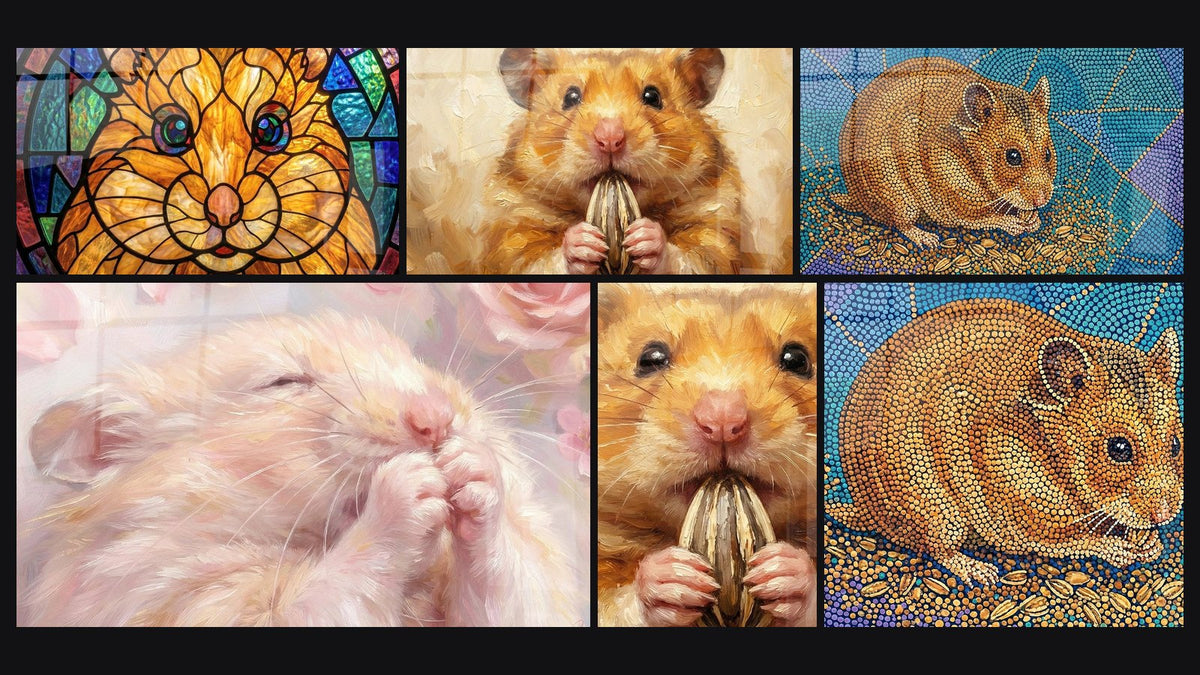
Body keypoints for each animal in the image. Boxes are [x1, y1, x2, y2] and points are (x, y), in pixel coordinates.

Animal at [18, 312, 580, 626]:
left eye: (410, 358)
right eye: (284, 382)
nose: (438, 420)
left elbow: (514, 593)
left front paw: (473, 467)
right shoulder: (180, 602)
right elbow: (319, 599)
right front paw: (409, 484)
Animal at [480, 48, 742, 275]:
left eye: (653, 96)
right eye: (571, 97)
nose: (609, 139)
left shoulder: (715, 228)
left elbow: (694, 259)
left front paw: (646, 238)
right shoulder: (513, 233)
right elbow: (536, 263)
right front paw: (582, 242)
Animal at [597, 284, 817, 626]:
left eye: (797, 359)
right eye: (650, 358)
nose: (723, 421)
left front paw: (783, 571)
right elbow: (614, 603)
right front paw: (672, 578)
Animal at [829, 298, 1183, 584]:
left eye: (1176, 444)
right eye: (1118, 449)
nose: (1165, 516)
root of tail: (868, 512)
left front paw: (1150, 543)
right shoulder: (1017, 507)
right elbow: (1069, 540)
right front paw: (1122, 547)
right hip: (934, 508)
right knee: (937, 548)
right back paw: (980, 572)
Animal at [830, 57, 1056, 249]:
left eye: (1047, 154)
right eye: (1012, 157)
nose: (1042, 200)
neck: (971, 160)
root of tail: (856, 198)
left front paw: (1033, 219)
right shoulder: (951, 196)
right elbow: (982, 218)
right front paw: (1015, 223)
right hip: (898, 195)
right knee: (900, 222)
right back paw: (927, 239)